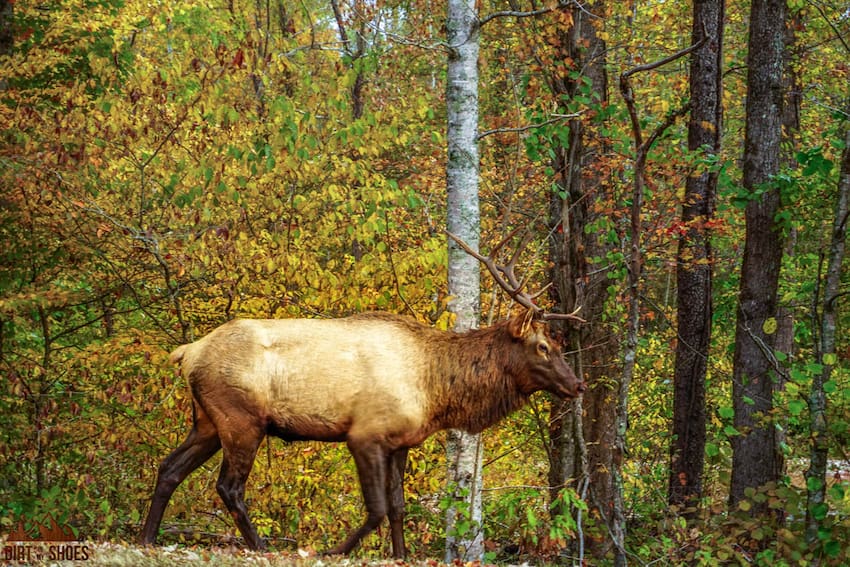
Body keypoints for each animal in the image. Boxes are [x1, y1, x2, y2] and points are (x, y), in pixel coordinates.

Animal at [141, 232, 584, 560]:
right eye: (543, 346)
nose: (578, 385)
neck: (435, 391)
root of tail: (188, 352)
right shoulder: (364, 435)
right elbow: (377, 508)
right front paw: (332, 551)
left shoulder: (401, 442)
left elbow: (399, 506)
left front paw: (400, 555)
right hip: (242, 419)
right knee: (229, 487)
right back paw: (261, 546)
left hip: (207, 420)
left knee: (170, 467)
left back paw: (147, 537)